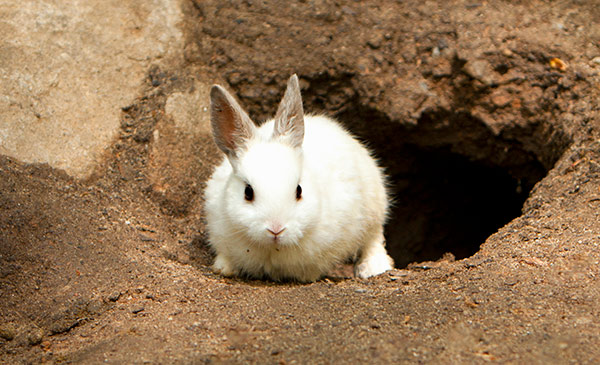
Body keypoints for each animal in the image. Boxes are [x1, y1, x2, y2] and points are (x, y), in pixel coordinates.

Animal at [206, 74, 394, 282]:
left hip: (374, 208)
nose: (276, 229)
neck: (273, 249)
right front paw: (223, 269)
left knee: (373, 240)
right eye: (248, 192)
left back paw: (373, 268)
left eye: (299, 190)